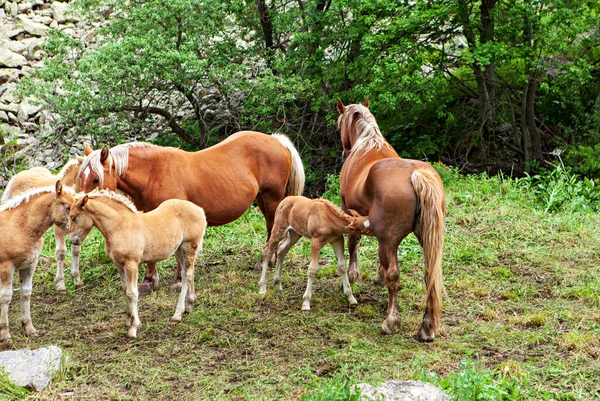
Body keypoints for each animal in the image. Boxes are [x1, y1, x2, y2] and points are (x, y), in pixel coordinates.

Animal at [0, 181, 74, 340]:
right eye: (67, 206)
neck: (20, 227)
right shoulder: (6, 267)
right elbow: (5, 296)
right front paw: (5, 333)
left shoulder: (29, 265)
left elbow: (26, 293)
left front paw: (29, 328)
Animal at [67, 189, 207, 336]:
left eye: (74, 217)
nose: (72, 240)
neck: (119, 226)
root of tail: (199, 209)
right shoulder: (118, 263)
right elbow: (125, 289)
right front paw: (128, 320)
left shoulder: (131, 263)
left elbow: (132, 293)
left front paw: (133, 327)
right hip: (178, 250)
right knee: (189, 271)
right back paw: (189, 304)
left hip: (188, 247)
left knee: (187, 276)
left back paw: (177, 314)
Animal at [77, 131, 304, 294]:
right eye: (81, 177)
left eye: (95, 179)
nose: (79, 204)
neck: (153, 173)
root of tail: (276, 140)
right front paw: (149, 282)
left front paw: (179, 281)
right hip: (262, 199)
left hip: (272, 197)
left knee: (272, 229)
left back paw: (264, 262)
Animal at [338, 98, 446, 340]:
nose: (344, 149)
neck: (368, 144)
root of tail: (417, 175)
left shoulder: (347, 209)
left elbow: (352, 243)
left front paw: (353, 274)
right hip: (424, 240)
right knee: (429, 276)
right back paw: (426, 328)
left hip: (389, 240)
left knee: (394, 277)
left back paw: (390, 321)